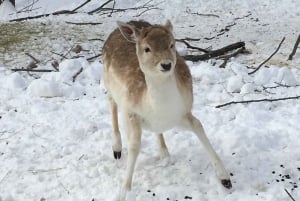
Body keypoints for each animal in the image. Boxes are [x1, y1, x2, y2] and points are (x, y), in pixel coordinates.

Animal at [102, 20, 231, 201]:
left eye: (171, 44)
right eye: (147, 48)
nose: (166, 64)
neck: (160, 110)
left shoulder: (182, 113)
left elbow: (199, 125)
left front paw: (225, 178)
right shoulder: (131, 113)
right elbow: (134, 146)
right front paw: (124, 193)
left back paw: (164, 153)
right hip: (107, 81)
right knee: (111, 102)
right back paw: (117, 148)